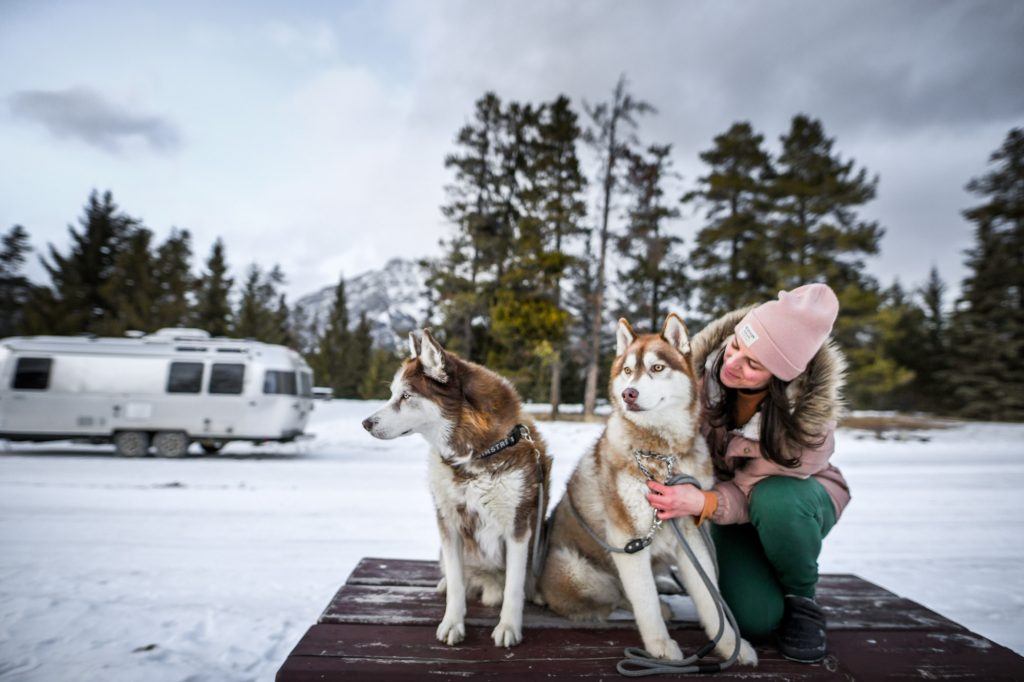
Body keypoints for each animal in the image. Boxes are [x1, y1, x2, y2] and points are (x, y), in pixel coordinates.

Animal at [361, 329, 552, 648]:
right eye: (392, 394)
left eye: (406, 396)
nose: (365, 423)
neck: (473, 456)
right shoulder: (448, 522)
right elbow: (456, 582)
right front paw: (452, 622)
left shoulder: (518, 526)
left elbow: (513, 586)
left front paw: (508, 626)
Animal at [538, 314, 757, 665]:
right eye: (628, 371)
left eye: (656, 368)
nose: (629, 393)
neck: (661, 453)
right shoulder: (628, 539)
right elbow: (645, 601)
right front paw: (660, 646)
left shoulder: (690, 534)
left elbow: (710, 597)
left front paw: (731, 646)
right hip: (585, 575)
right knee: (615, 597)